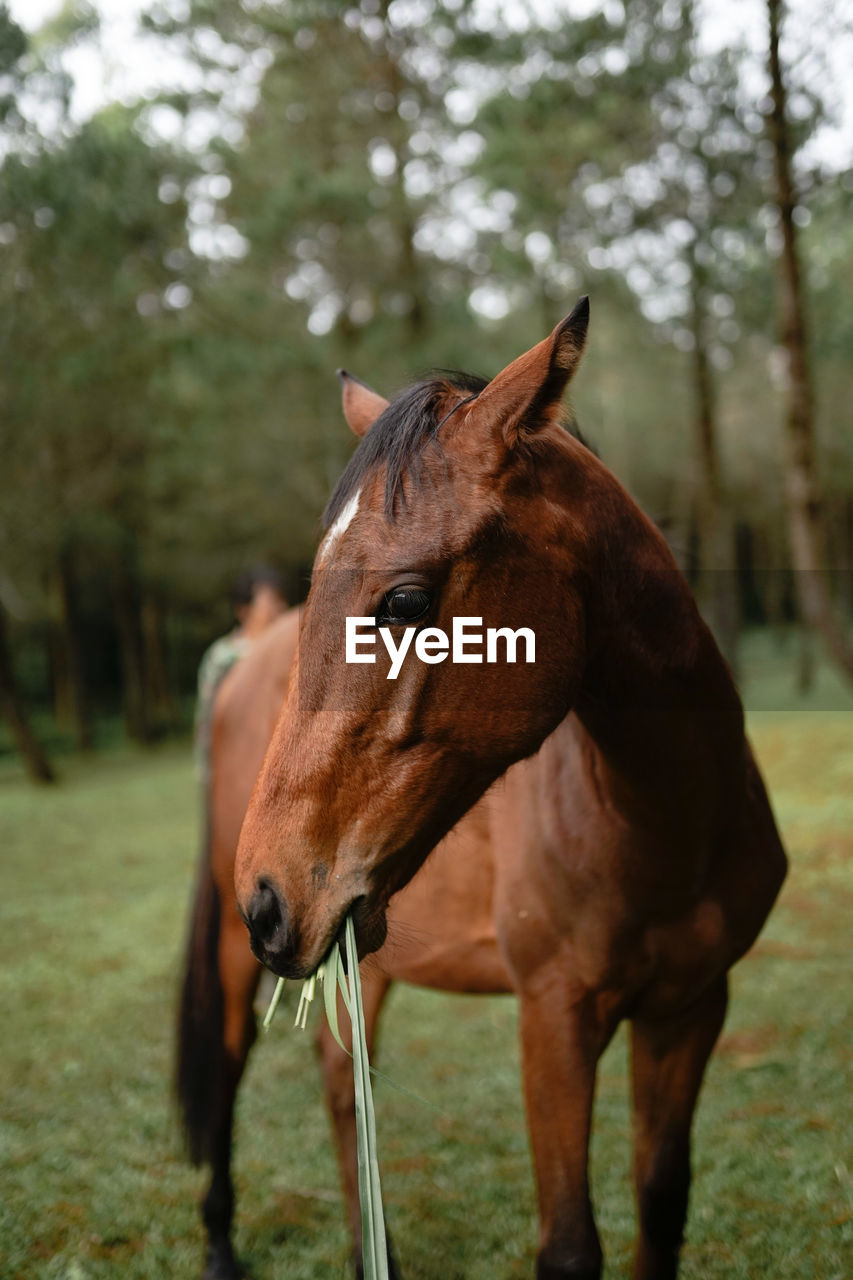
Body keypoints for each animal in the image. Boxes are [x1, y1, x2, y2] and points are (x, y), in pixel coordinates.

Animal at [230, 299, 783, 1280]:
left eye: (404, 602)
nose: (266, 896)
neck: (663, 833)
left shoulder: (690, 1008)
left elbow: (661, 1198)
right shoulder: (553, 1022)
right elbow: (567, 1245)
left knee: (341, 1088)